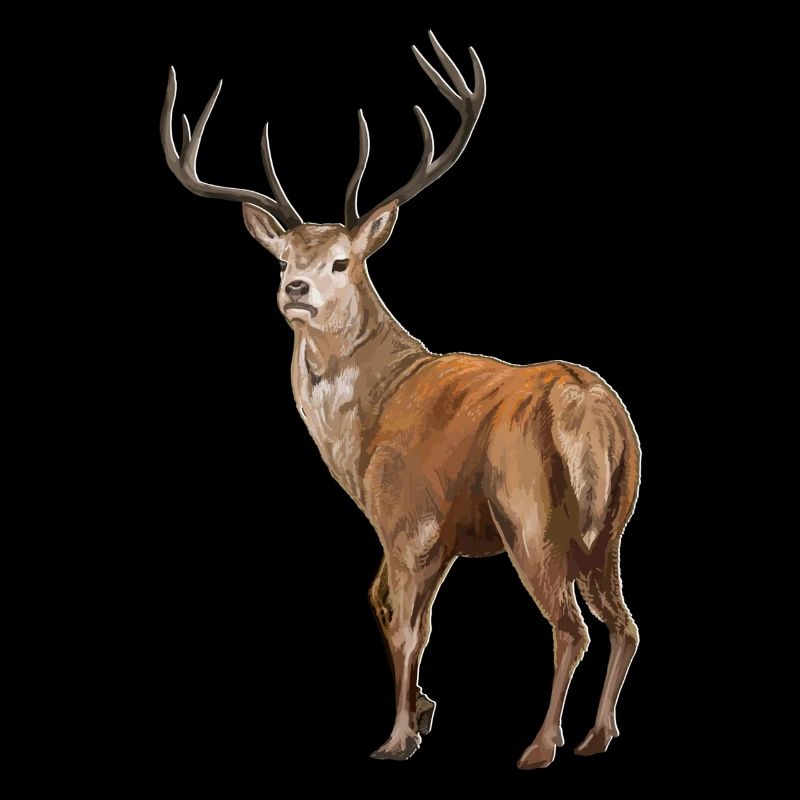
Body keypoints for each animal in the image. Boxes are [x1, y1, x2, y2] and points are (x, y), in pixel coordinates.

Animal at [161, 32, 641, 770]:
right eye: (283, 259)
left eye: (341, 261)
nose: (295, 289)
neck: (365, 429)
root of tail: (586, 409)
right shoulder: (433, 536)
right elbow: (383, 603)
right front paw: (423, 714)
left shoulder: (408, 515)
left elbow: (407, 622)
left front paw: (395, 738)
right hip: (612, 522)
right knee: (625, 622)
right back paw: (597, 734)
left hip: (531, 515)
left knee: (570, 627)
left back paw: (540, 745)